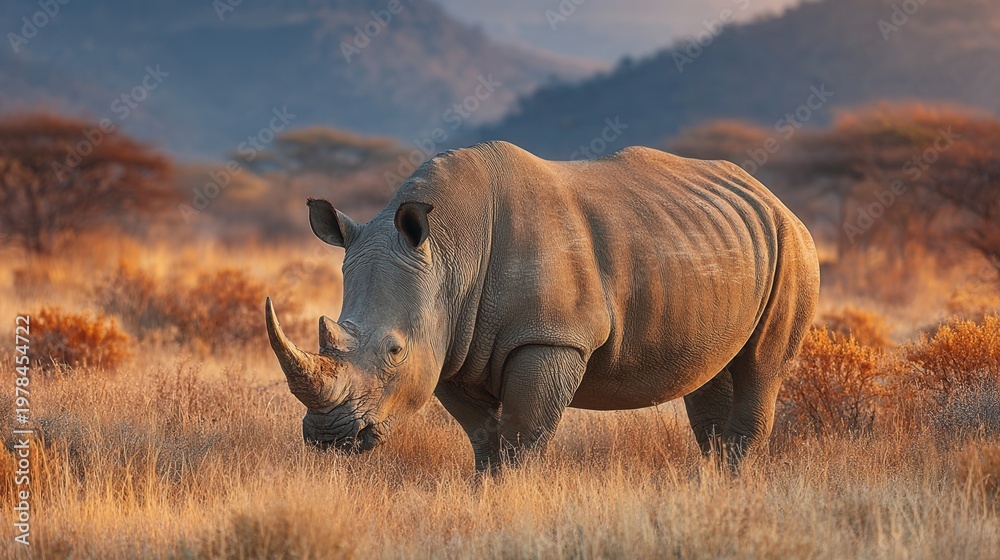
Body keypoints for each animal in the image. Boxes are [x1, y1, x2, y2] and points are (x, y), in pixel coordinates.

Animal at [265, 141, 819, 471]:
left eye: (395, 352)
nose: (329, 437)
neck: (448, 251)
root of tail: (773, 199)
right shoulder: (451, 344)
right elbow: (484, 438)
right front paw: (485, 493)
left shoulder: (550, 337)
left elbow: (522, 438)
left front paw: (511, 495)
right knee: (711, 372)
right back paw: (713, 484)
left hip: (794, 247)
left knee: (761, 366)